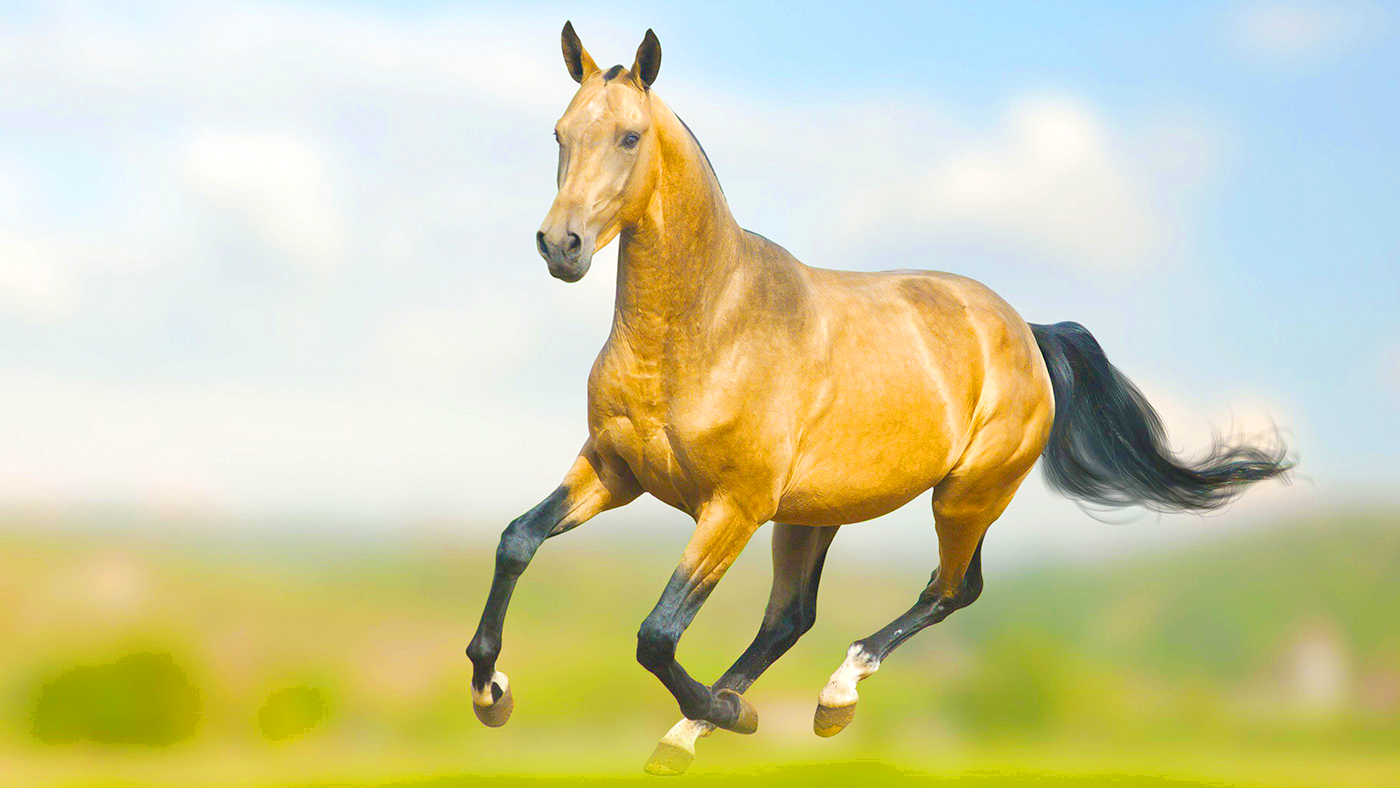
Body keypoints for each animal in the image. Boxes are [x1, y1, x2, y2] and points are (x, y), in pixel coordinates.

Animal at [466, 22, 1292, 775]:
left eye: (631, 137)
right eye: (560, 132)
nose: (561, 245)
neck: (704, 328)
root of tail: (1026, 332)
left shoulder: (733, 506)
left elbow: (657, 633)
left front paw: (730, 713)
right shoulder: (615, 471)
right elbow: (517, 541)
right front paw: (490, 690)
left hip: (964, 495)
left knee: (951, 590)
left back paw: (822, 699)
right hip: (816, 514)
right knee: (793, 617)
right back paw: (702, 729)